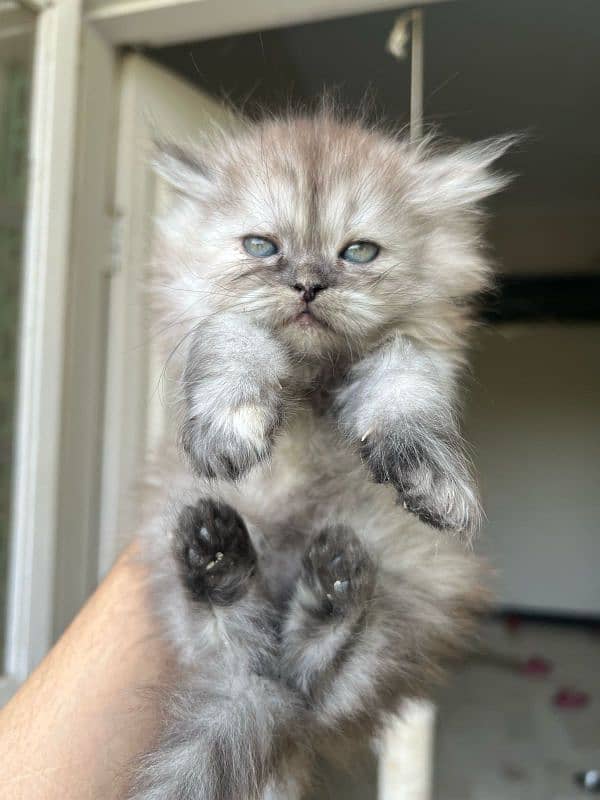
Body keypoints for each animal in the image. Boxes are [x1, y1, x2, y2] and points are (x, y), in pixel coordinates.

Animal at [131, 112, 510, 800]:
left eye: (358, 252)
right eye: (261, 246)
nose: (308, 285)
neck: (310, 386)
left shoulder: (412, 348)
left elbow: (406, 391)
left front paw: (428, 475)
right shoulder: (214, 325)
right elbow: (235, 333)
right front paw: (231, 423)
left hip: (413, 591)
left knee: (319, 681)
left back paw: (330, 586)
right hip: (170, 542)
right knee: (240, 649)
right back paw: (217, 555)